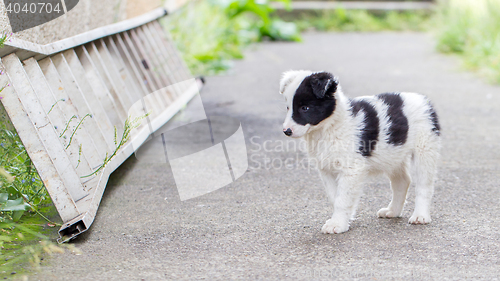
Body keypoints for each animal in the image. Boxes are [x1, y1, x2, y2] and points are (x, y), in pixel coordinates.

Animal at [282, 70, 442, 234]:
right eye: (288, 107)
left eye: (305, 108)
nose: (286, 131)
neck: (330, 126)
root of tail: (424, 100)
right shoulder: (327, 169)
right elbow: (335, 197)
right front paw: (344, 219)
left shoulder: (351, 169)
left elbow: (342, 199)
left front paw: (337, 224)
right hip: (393, 155)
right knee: (402, 181)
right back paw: (393, 211)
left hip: (425, 149)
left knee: (424, 185)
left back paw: (420, 216)